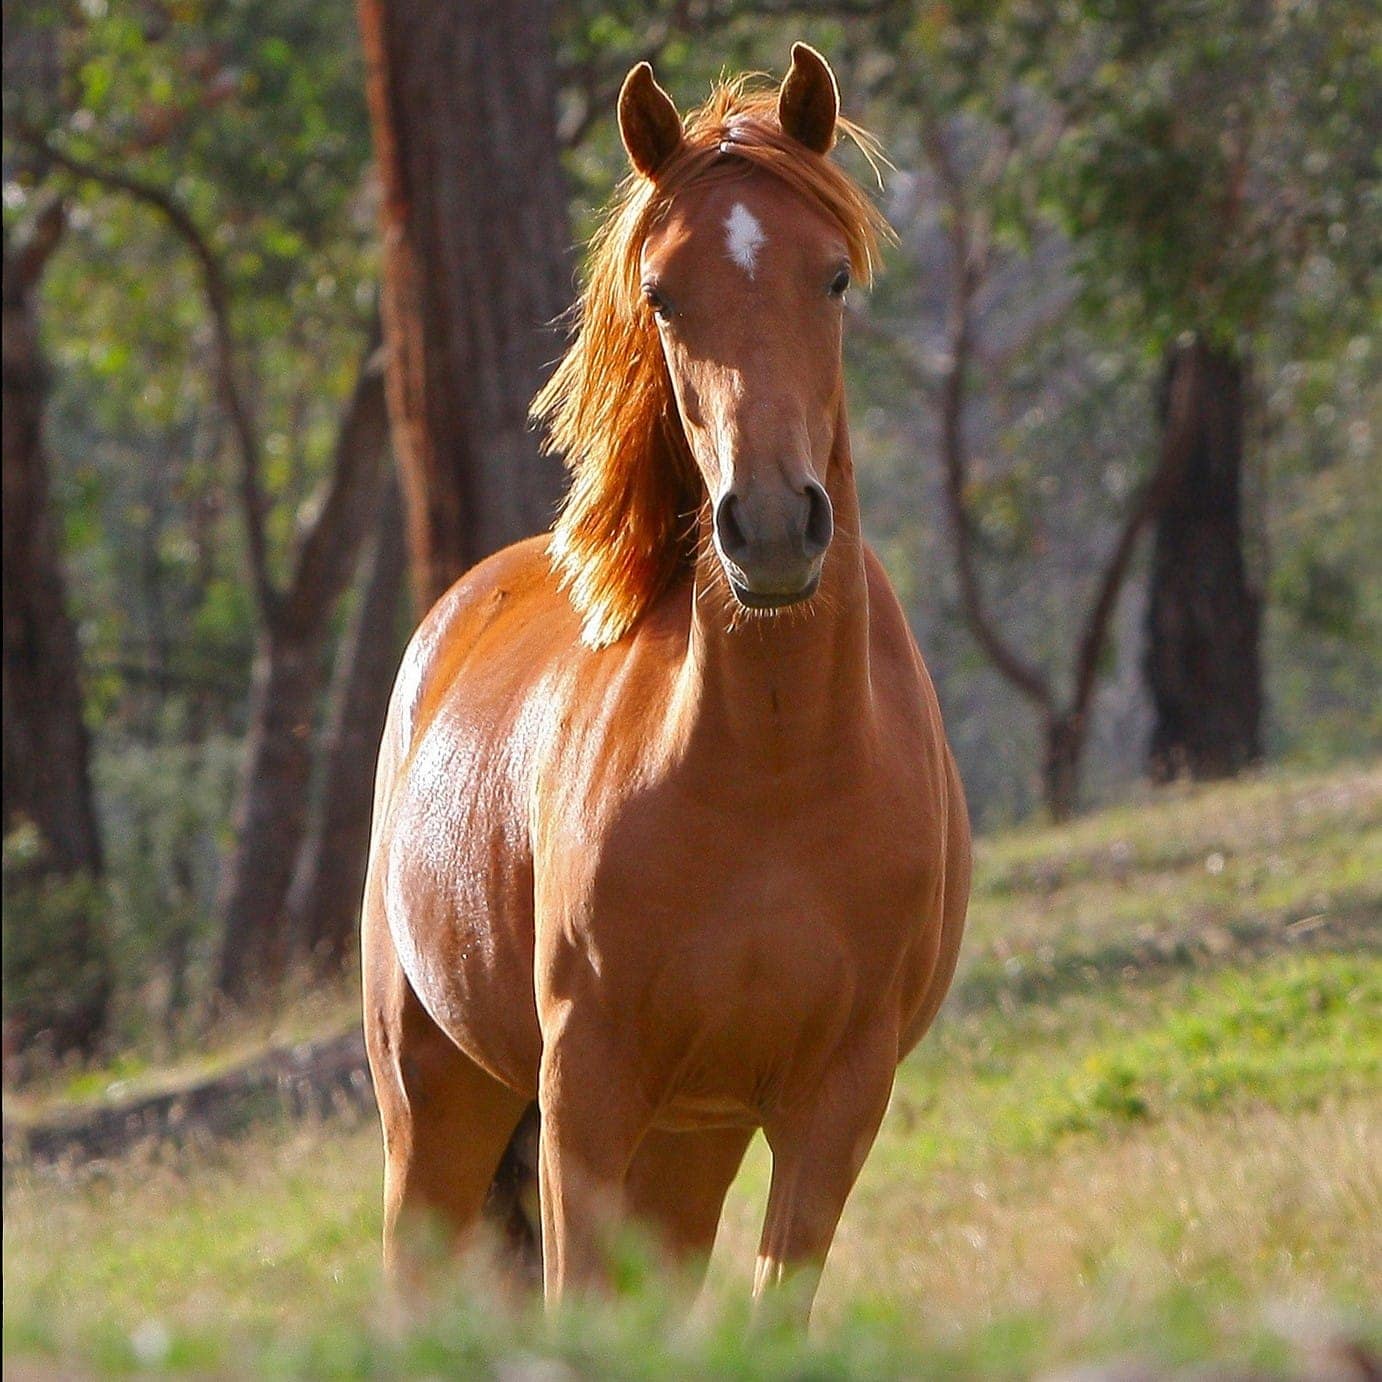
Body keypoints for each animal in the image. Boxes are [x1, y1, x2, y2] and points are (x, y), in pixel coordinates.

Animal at [364, 45, 972, 1315]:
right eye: (661, 293)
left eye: (831, 278)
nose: (772, 526)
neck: (774, 768)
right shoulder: (587, 1084)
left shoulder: (832, 1099)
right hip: (438, 1105)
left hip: (689, 1143)